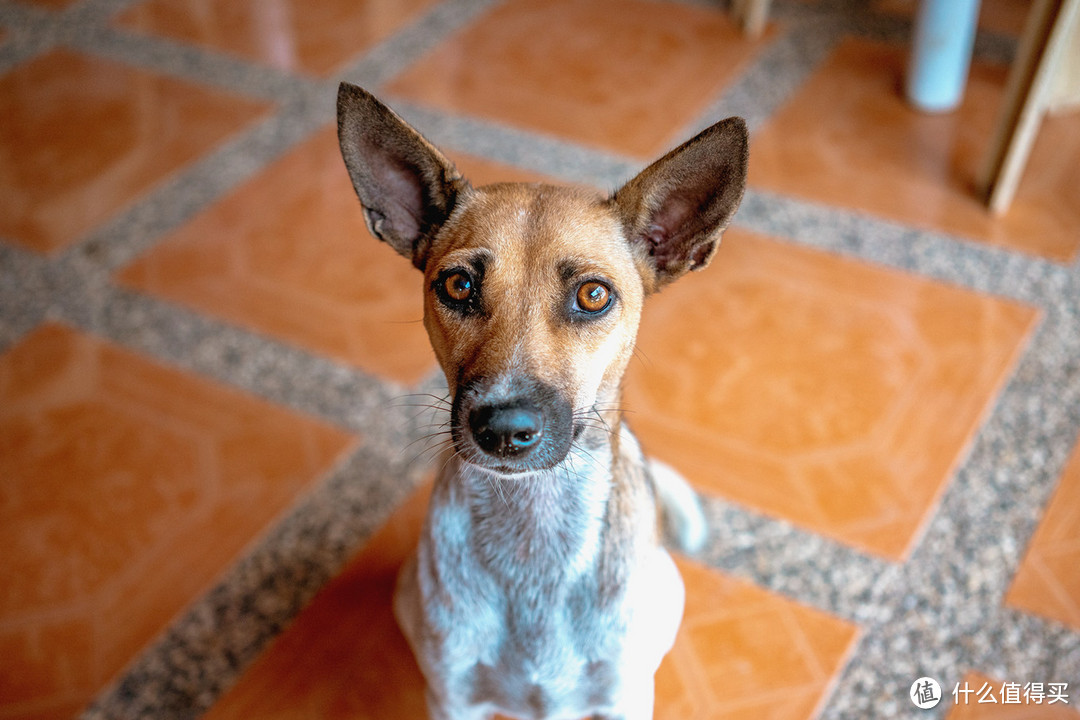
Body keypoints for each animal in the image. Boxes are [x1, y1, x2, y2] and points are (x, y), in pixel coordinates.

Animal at [341, 85, 747, 720]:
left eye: (593, 295)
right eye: (457, 285)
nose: (505, 430)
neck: (534, 526)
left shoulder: (622, 698)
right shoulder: (452, 697)